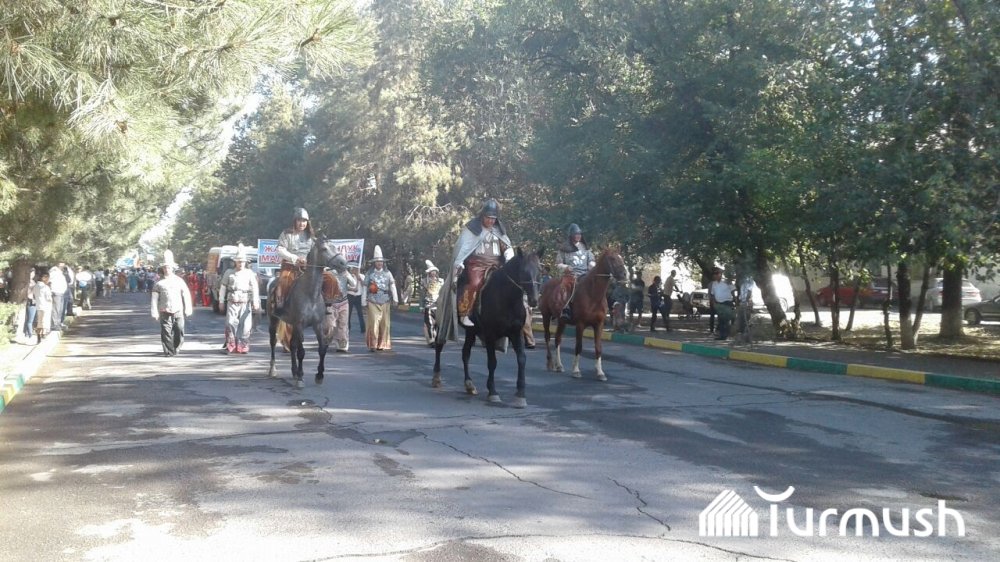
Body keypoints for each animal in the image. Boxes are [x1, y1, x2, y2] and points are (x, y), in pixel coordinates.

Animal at [266, 237, 342, 388]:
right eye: (324, 249)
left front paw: (319, 376)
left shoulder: (317, 324)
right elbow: (301, 351)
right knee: (273, 342)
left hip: (292, 325)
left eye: (335, 247)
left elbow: (322, 349)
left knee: (292, 345)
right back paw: (273, 369)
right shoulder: (300, 324)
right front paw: (301, 378)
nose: (343, 263)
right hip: (274, 320)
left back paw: (294, 371)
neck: (310, 294)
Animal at [432, 248, 542, 408]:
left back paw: (469, 384)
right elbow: (492, 362)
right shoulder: (490, 334)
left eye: (540, 270)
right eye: (523, 271)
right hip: (443, 321)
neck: (506, 298)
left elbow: (522, 359)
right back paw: (436, 378)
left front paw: (520, 395)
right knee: (439, 346)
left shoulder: (516, 333)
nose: (534, 300)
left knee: (465, 353)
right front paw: (493, 392)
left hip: (471, 331)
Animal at [538, 247, 627, 380]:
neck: (593, 295)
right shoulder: (580, 324)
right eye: (612, 258)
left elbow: (598, 348)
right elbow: (579, 346)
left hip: (562, 321)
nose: (624, 274)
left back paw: (559, 365)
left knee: (558, 339)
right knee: (548, 337)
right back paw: (550, 363)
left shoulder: (599, 324)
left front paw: (600, 372)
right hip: (546, 316)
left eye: (621, 257)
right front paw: (576, 370)